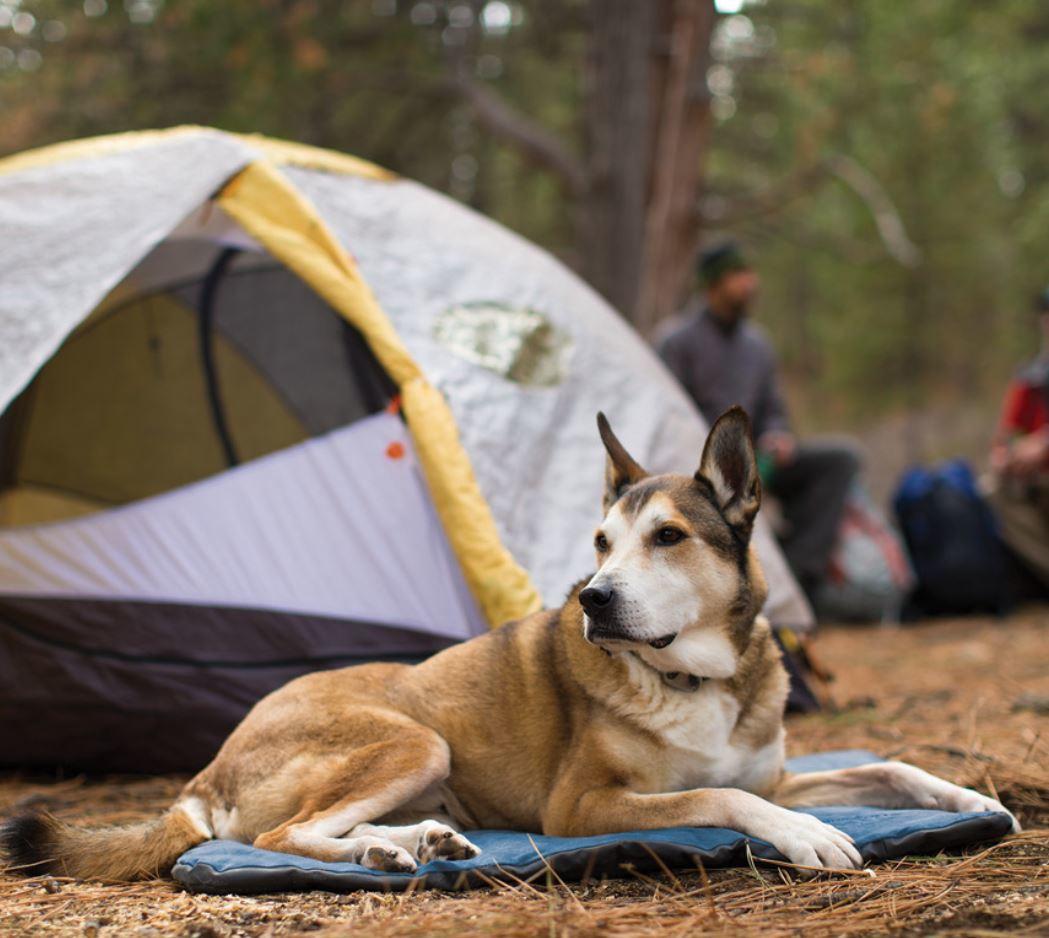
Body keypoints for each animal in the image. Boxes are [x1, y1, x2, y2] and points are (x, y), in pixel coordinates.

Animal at [0, 409, 1015, 881]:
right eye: (600, 542)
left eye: (667, 538)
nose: (594, 601)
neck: (698, 678)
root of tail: (206, 770)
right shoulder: (582, 807)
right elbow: (723, 797)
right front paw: (809, 838)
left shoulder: (772, 768)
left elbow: (881, 764)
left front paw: (973, 795)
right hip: (412, 737)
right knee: (281, 834)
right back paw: (385, 853)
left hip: (423, 761)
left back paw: (418, 840)